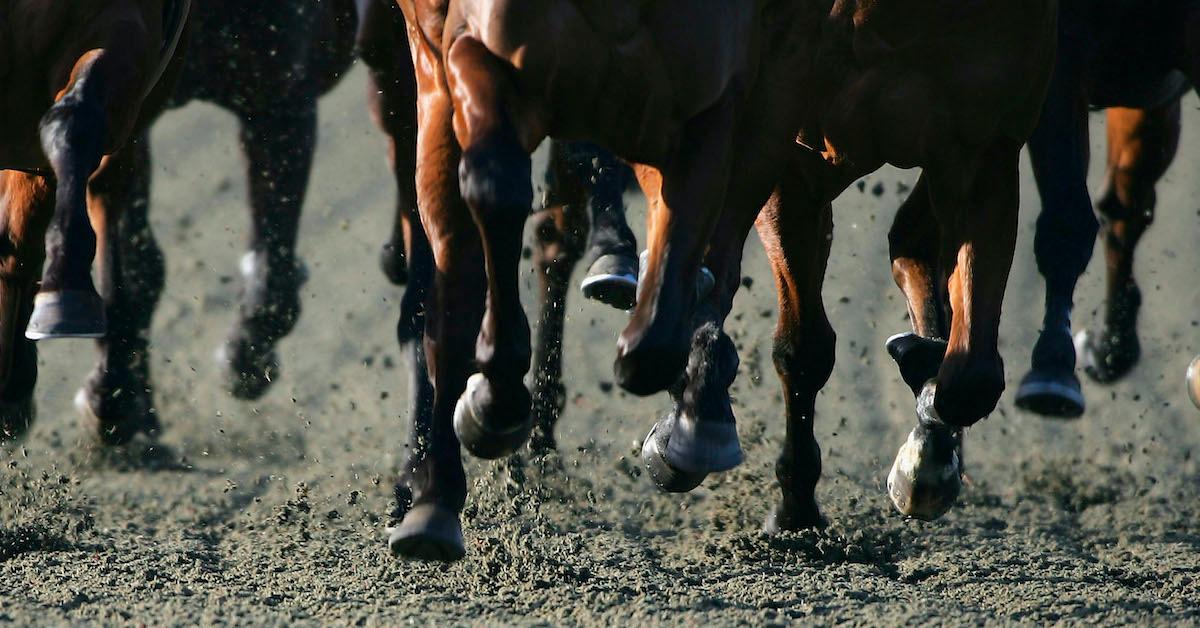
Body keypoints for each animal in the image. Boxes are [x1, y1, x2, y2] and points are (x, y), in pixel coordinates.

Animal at [388, 0, 1056, 559]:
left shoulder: (983, 146)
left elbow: (971, 377)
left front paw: (925, 452)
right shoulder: (792, 148)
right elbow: (802, 346)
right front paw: (788, 502)